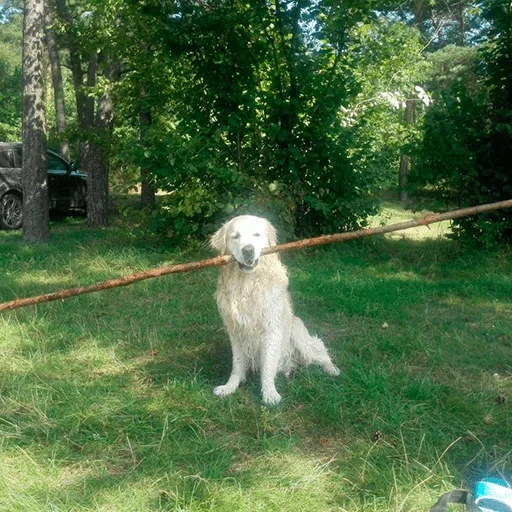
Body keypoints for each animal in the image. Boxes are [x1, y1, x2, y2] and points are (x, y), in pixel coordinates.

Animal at [212, 215, 340, 404]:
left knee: (320, 350)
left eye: (257, 234)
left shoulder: (271, 329)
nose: (248, 250)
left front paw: (269, 394)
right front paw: (229, 387)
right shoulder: (236, 332)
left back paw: (332, 369)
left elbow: (268, 365)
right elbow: (237, 365)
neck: (247, 283)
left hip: (299, 334)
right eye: (235, 236)